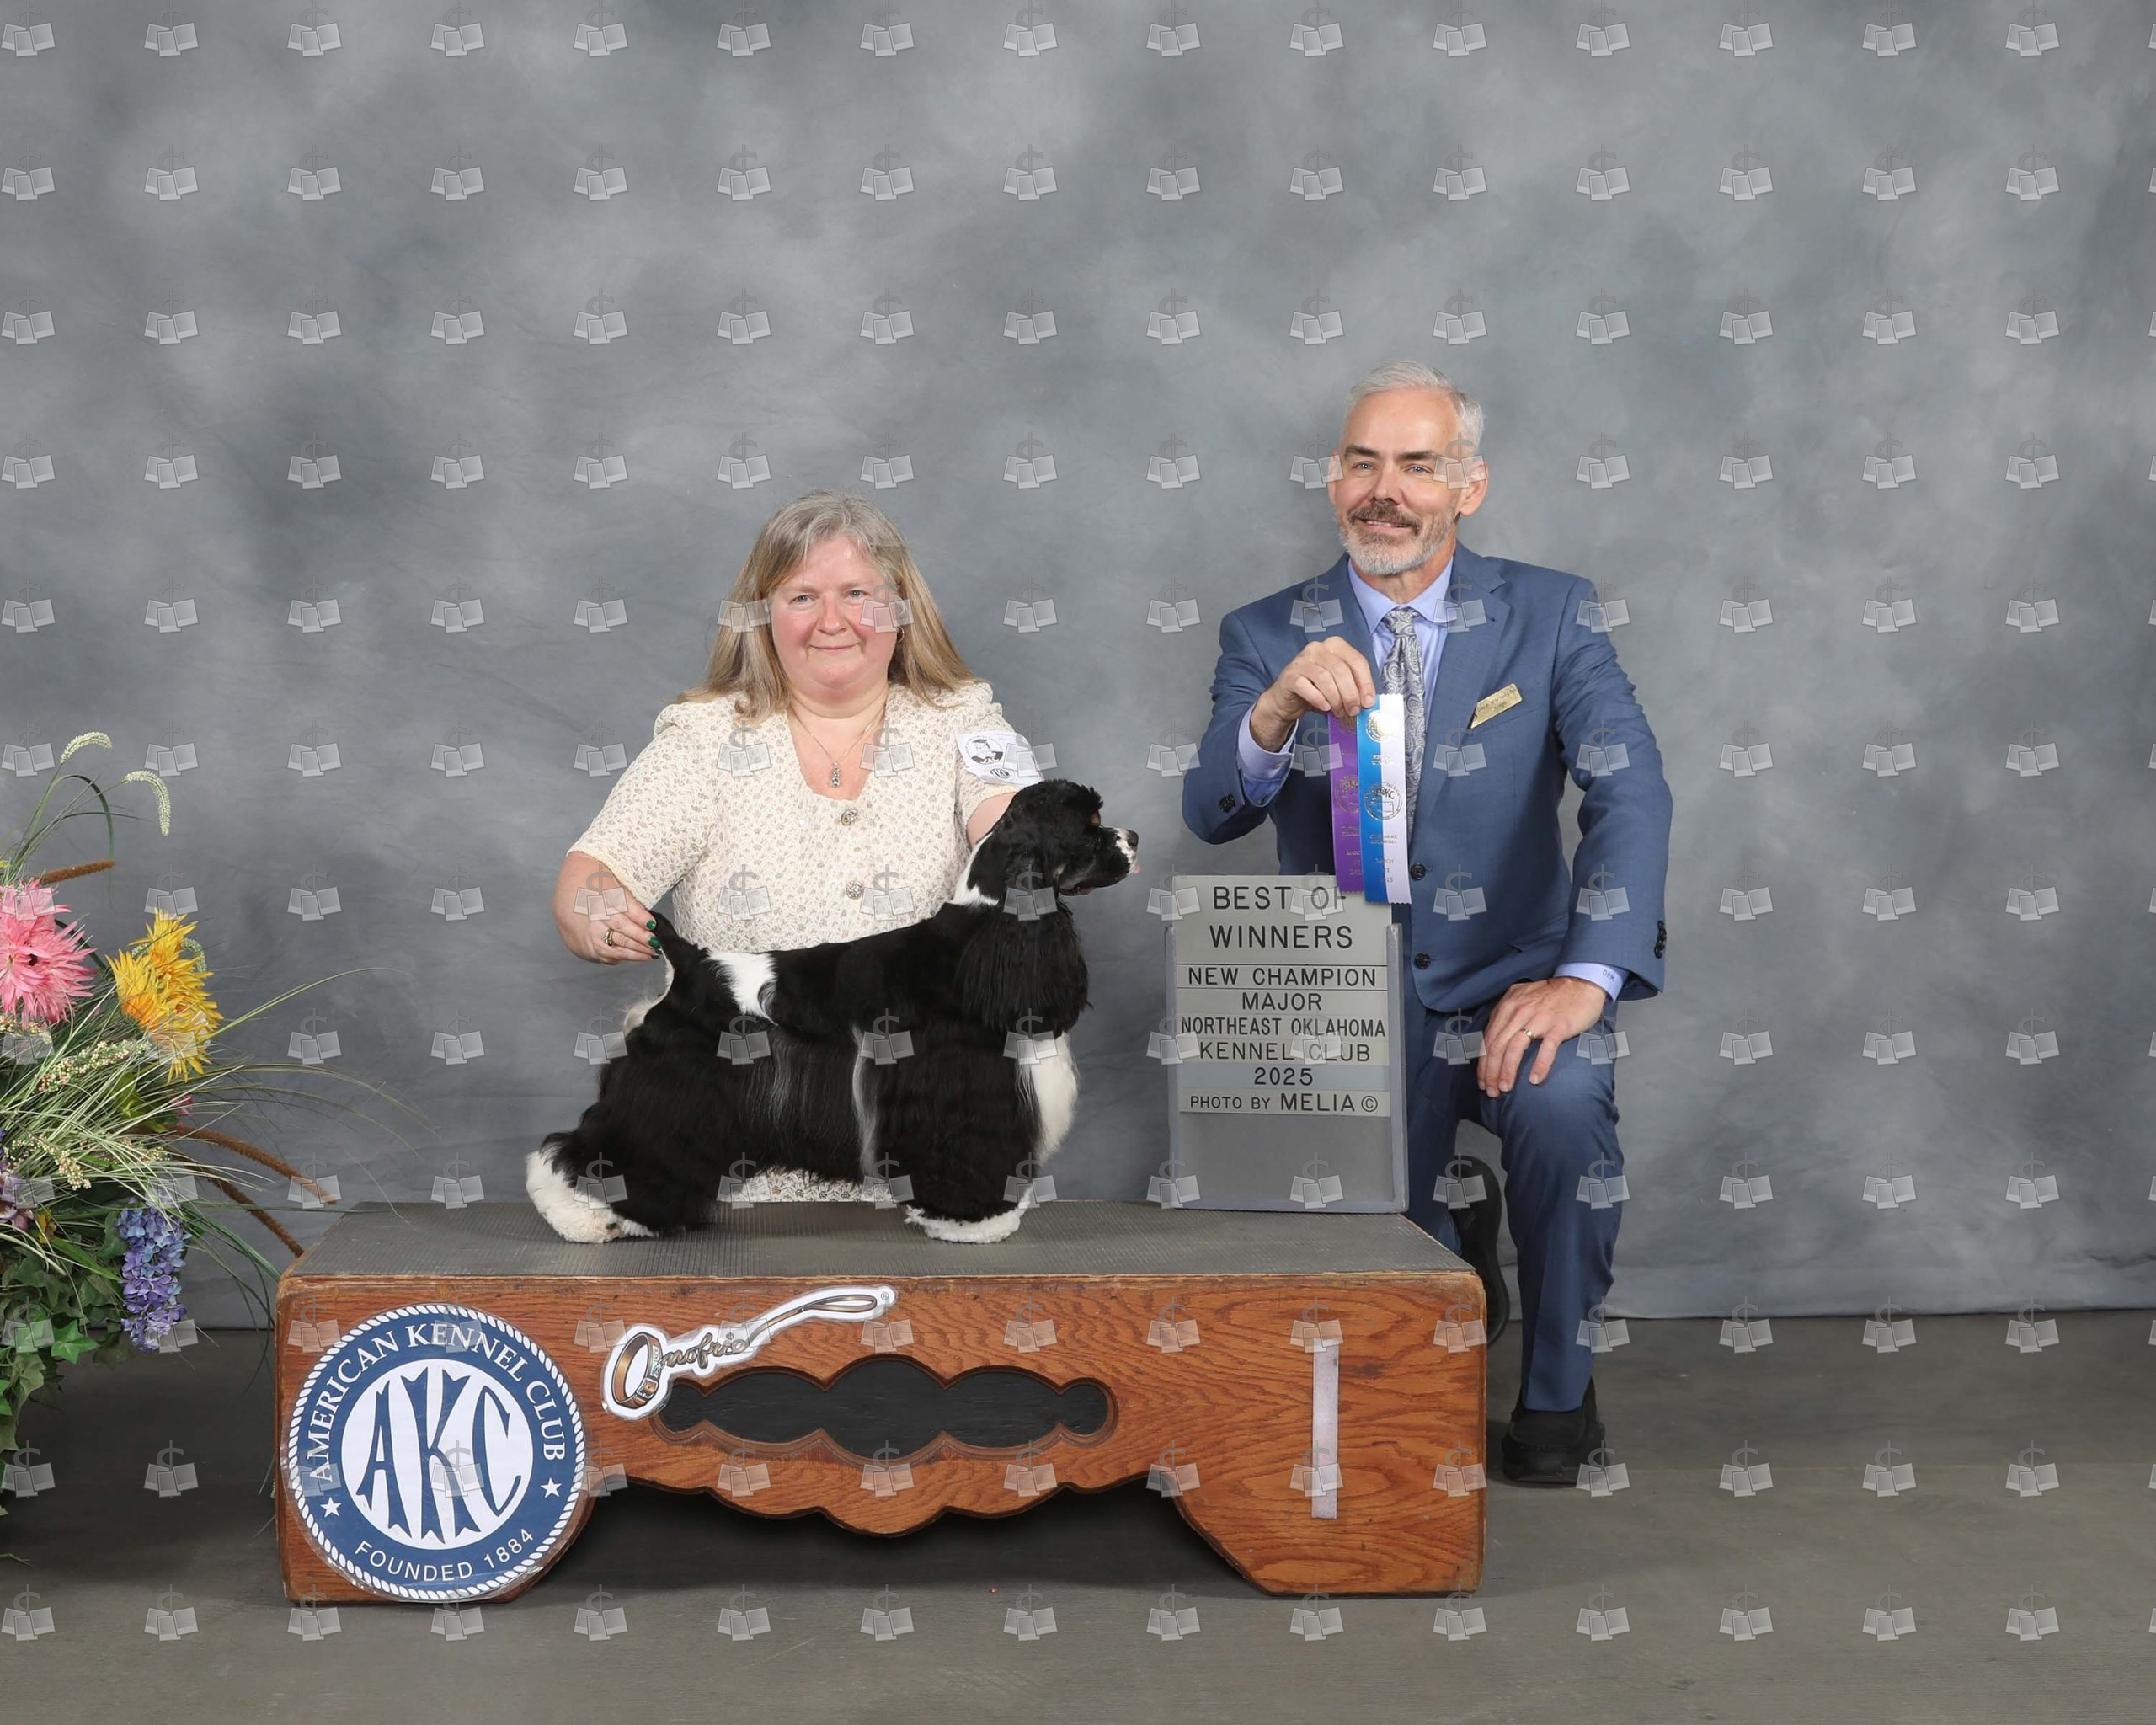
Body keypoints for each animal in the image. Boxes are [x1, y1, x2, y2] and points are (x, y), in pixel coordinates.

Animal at [527, 778, 1138, 1245]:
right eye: (1091, 825)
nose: (1133, 836)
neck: (985, 928)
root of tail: (690, 961)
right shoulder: (960, 1089)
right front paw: (975, 1221)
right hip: (673, 1090)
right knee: (581, 1149)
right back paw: (583, 1218)